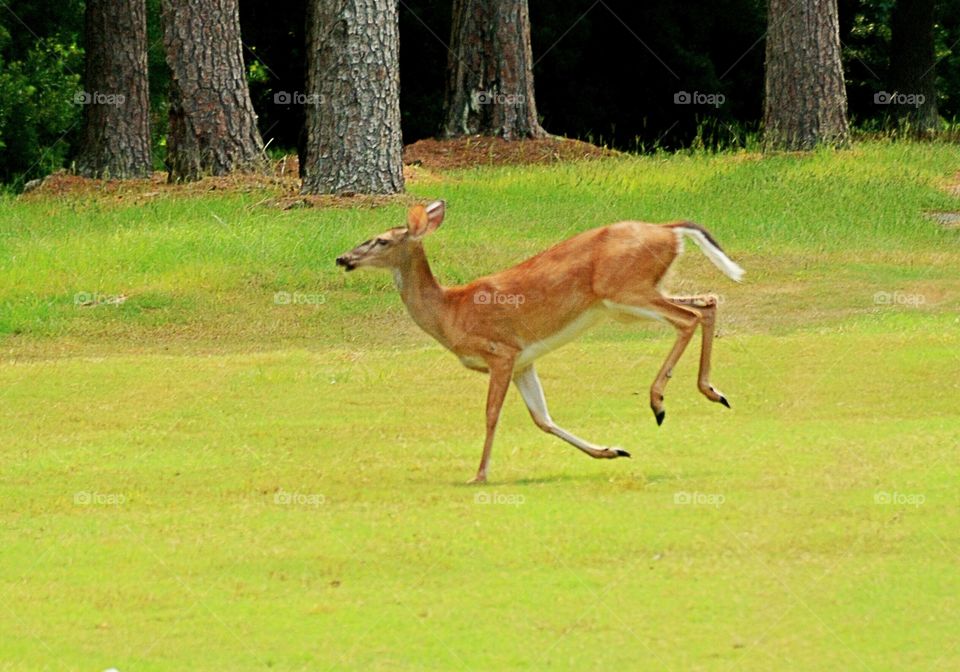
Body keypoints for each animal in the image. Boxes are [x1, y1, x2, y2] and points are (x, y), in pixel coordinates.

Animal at [334, 200, 748, 484]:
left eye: (381, 240)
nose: (342, 258)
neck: (451, 312)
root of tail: (669, 229)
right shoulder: (523, 362)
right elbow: (542, 418)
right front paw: (612, 450)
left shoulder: (501, 351)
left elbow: (492, 414)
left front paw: (479, 475)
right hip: (638, 294)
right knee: (708, 301)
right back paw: (714, 392)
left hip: (624, 293)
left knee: (687, 318)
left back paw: (660, 402)